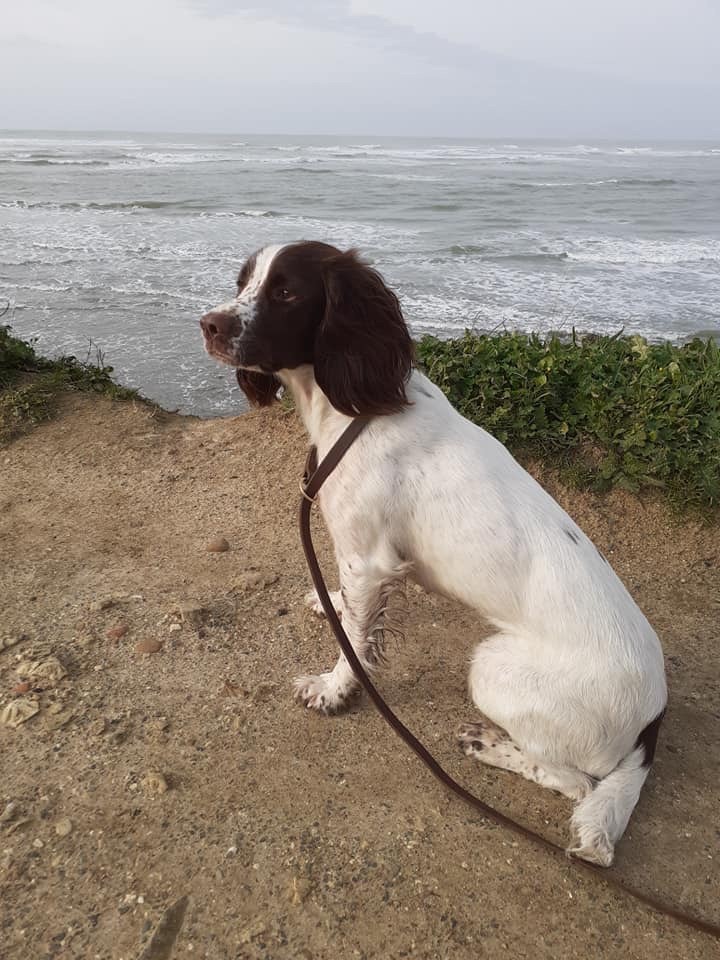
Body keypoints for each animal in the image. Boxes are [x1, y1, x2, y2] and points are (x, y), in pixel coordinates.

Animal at [200, 242, 668, 872]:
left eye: (287, 292)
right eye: (243, 281)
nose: (209, 325)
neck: (356, 405)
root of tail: (653, 717)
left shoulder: (370, 559)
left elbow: (354, 646)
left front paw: (333, 690)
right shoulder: (360, 562)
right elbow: (350, 614)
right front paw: (331, 604)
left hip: (493, 669)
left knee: (579, 783)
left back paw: (490, 746)